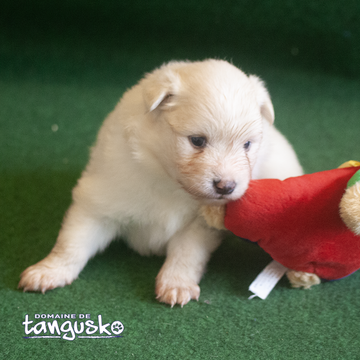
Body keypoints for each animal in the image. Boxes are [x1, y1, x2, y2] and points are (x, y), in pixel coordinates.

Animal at [18, 59, 302, 306]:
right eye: (197, 141)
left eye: (247, 145)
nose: (226, 188)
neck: (167, 181)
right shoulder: (98, 202)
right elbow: (72, 243)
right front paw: (49, 271)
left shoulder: (199, 225)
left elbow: (186, 253)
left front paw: (176, 283)